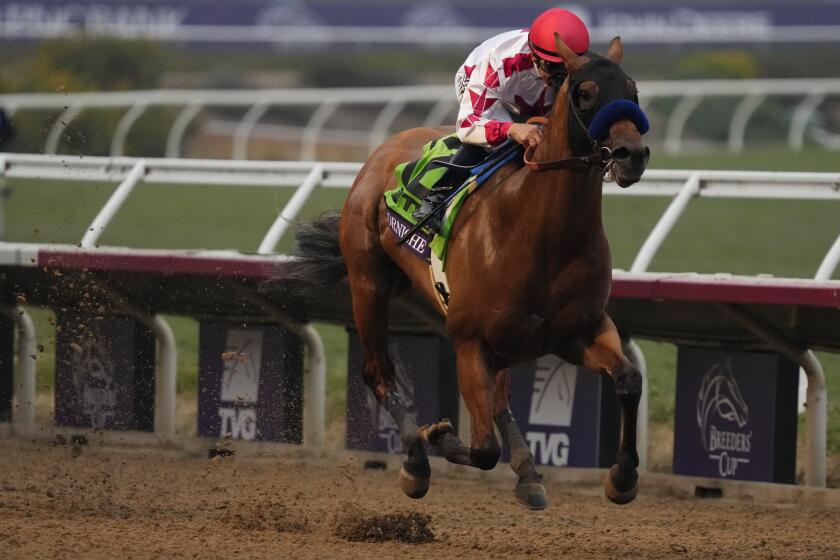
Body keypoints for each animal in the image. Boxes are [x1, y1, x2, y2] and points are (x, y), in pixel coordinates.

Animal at [288, 35, 648, 508]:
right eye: (585, 93)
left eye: (633, 89)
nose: (632, 155)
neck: (543, 234)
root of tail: (385, 149)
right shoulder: (470, 340)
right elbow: (482, 449)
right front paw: (435, 437)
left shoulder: (579, 331)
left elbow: (629, 379)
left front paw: (623, 477)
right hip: (369, 284)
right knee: (378, 372)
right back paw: (417, 460)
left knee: (498, 397)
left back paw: (528, 473)